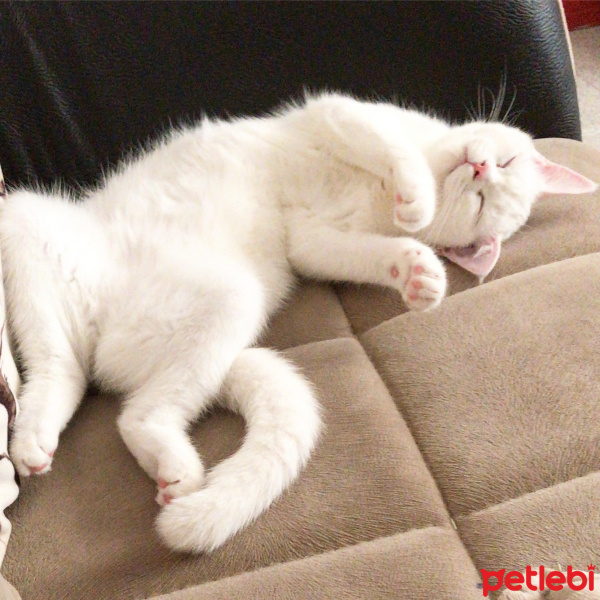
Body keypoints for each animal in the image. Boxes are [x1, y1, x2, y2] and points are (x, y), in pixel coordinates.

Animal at [0, 91, 596, 552]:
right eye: (505, 166)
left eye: (481, 203)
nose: (479, 168)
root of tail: (105, 339)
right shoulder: (334, 113)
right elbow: (393, 148)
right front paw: (418, 199)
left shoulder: (315, 242)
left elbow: (362, 253)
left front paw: (419, 276)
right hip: (24, 218)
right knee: (59, 367)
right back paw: (36, 440)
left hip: (228, 302)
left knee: (120, 406)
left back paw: (156, 465)